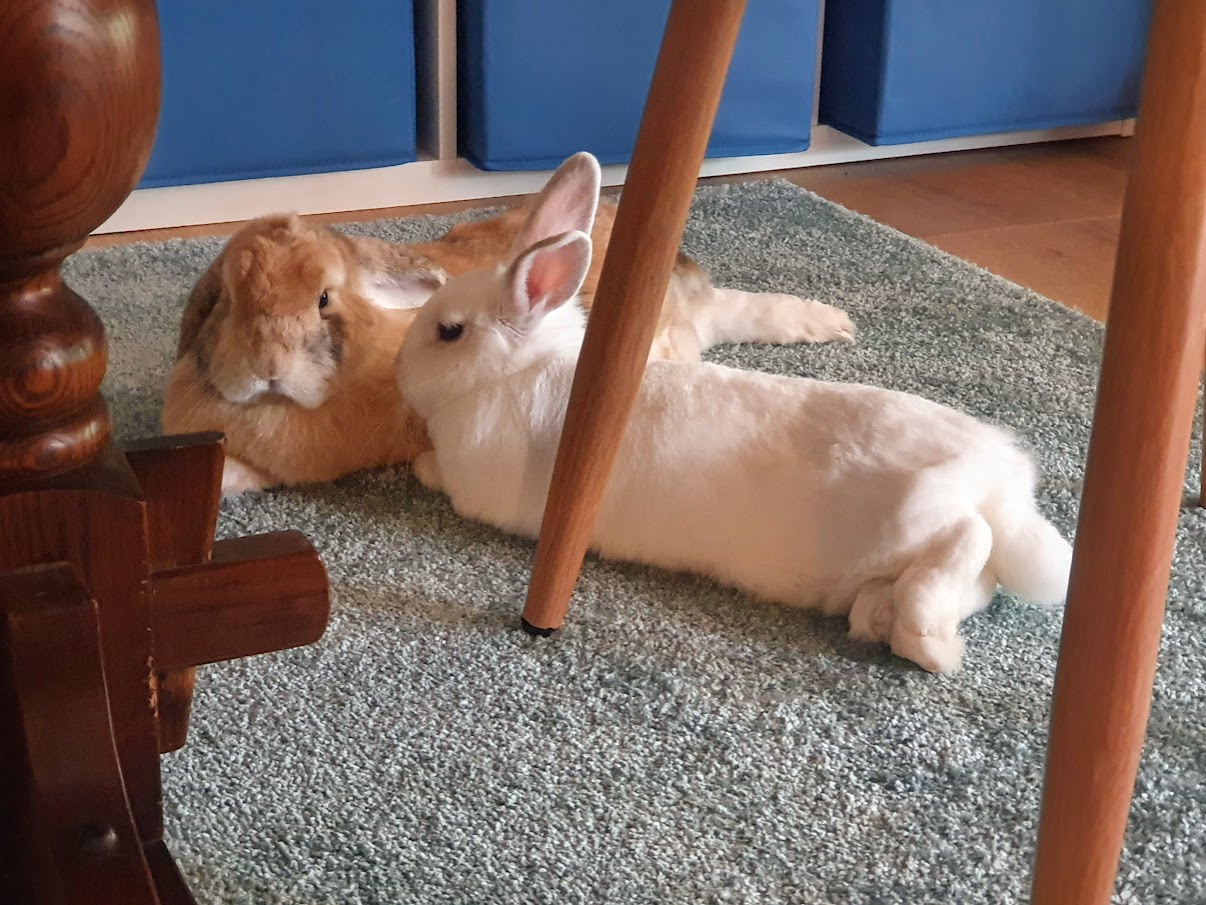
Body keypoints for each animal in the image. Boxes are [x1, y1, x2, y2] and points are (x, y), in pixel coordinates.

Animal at [394, 154, 1072, 673]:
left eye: (450, 332)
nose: (399, 369)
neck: (519, 370)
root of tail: (1001, 485)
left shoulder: (476, 487)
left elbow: (437, 472)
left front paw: (421, 462)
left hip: (916, 516)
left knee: (967, 538)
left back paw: (928, 640)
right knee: (975, 576)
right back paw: (893, 621)